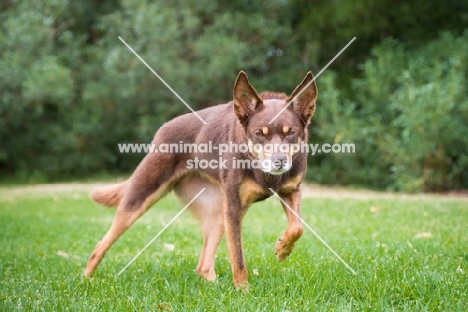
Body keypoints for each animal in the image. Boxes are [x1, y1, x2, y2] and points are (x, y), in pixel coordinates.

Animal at [84, 70, 318, 290]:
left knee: (203, 267)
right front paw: (243, 291)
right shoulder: (234, 208)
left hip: (217, 213)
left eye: (291, 132)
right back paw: (86, 279)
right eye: (259, 133)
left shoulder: (290, 191)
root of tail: (161, 131)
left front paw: (283, 248)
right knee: (100, 245)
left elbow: (298, 227)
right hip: (140, 197)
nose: (279, 161)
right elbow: (238, 257)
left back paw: (215, 285)